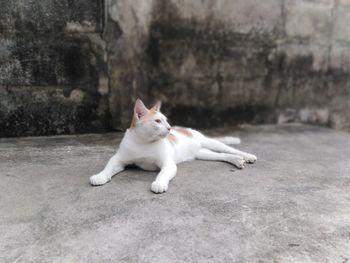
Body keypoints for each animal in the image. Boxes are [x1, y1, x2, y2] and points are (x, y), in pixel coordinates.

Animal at [90, 99, 258, 194]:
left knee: (230, 149)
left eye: (166, 120)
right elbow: (109, 167)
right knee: (223, 156)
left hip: (210, 142)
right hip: (203, 153)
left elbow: (163, 174)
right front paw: (100, 176)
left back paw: (247, 156)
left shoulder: (168, 164)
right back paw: (237, 161)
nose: (170, 128)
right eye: (157, 121)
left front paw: (159, 183)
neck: (143, 142)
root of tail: (186, 129)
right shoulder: (119, 159)